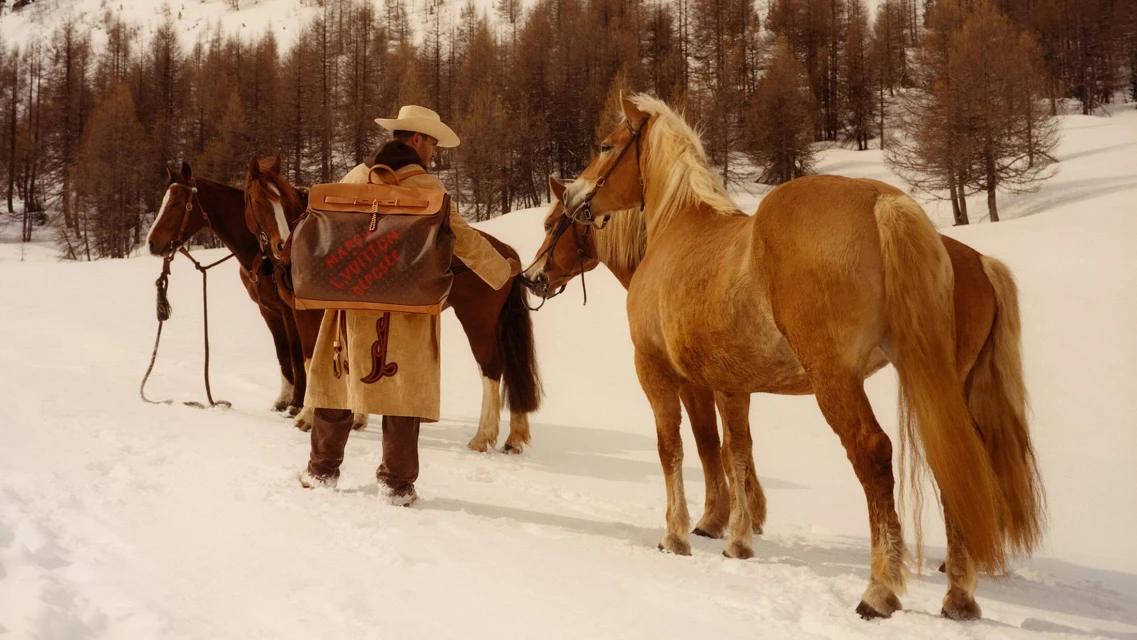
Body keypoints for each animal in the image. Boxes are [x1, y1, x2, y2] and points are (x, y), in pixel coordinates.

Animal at [146, 162, 308, 415]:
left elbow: (296, 352)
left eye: (175, 203)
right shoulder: (268, 310)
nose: (151, 243)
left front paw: (297, 404)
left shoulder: (289, 309)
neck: (261, 255)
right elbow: (283, 352)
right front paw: (283, 400)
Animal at [545, 93, 1044, 620]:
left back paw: (879, 590)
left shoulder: (659, 371)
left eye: (605, 145)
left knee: (874, 455)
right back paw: (959, 595)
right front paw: (738, 540)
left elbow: (676, 448)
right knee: (956, 460)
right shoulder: (732, 385)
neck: (677, 227)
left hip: (837, 380)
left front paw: (679, 533)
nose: (575, 198)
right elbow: (737, 452)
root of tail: (883, 201)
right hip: (942, 384)